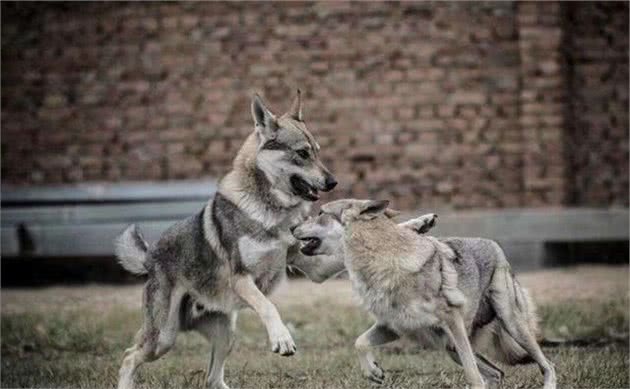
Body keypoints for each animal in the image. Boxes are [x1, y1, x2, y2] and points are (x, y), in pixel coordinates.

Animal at [113, 91, 340, 388]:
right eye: (302, 153)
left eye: (318, 152)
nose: (333, 182)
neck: (271, 211)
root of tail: (150, 257)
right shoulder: (242, 279)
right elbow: (269, 307)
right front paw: (282, 339)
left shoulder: (314, 269)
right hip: (163, 339)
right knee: (129, 356)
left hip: (226, 336)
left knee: (212, 378)